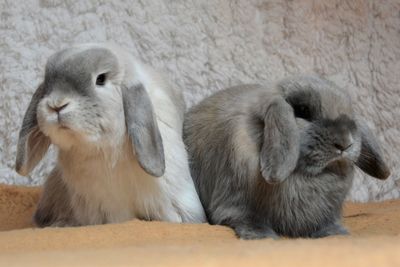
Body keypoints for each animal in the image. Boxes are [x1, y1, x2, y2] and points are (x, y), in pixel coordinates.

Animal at [184, 76, 390, 241]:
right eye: (303, 110)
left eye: (350, 114)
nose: (345, 142)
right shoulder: (234, 204)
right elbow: (246, 219)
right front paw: (262, 236)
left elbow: (325, 225)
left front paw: (336, 233)